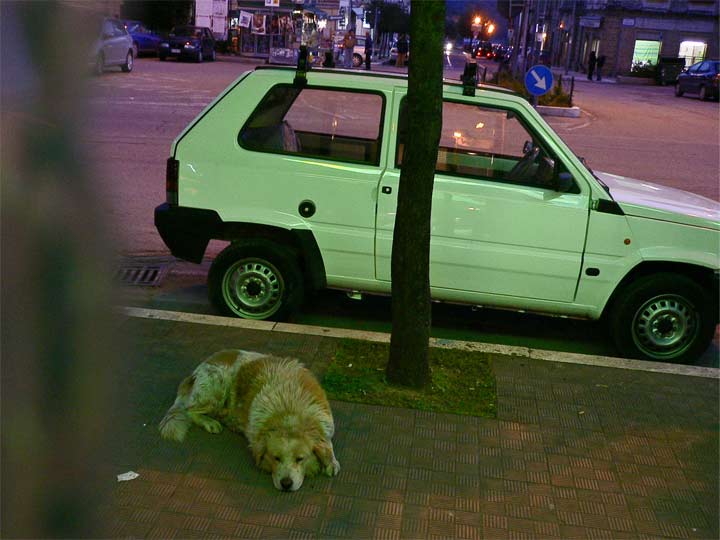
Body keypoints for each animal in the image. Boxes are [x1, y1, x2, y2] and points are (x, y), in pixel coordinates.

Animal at [162, 348, 342, 492]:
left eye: (300, 459)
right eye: (276, 458)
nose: (286, 483)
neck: (290, 410)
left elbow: (328, 443)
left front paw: (331, 462)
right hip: (217, 387)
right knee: (190, 410)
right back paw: (210, 422)